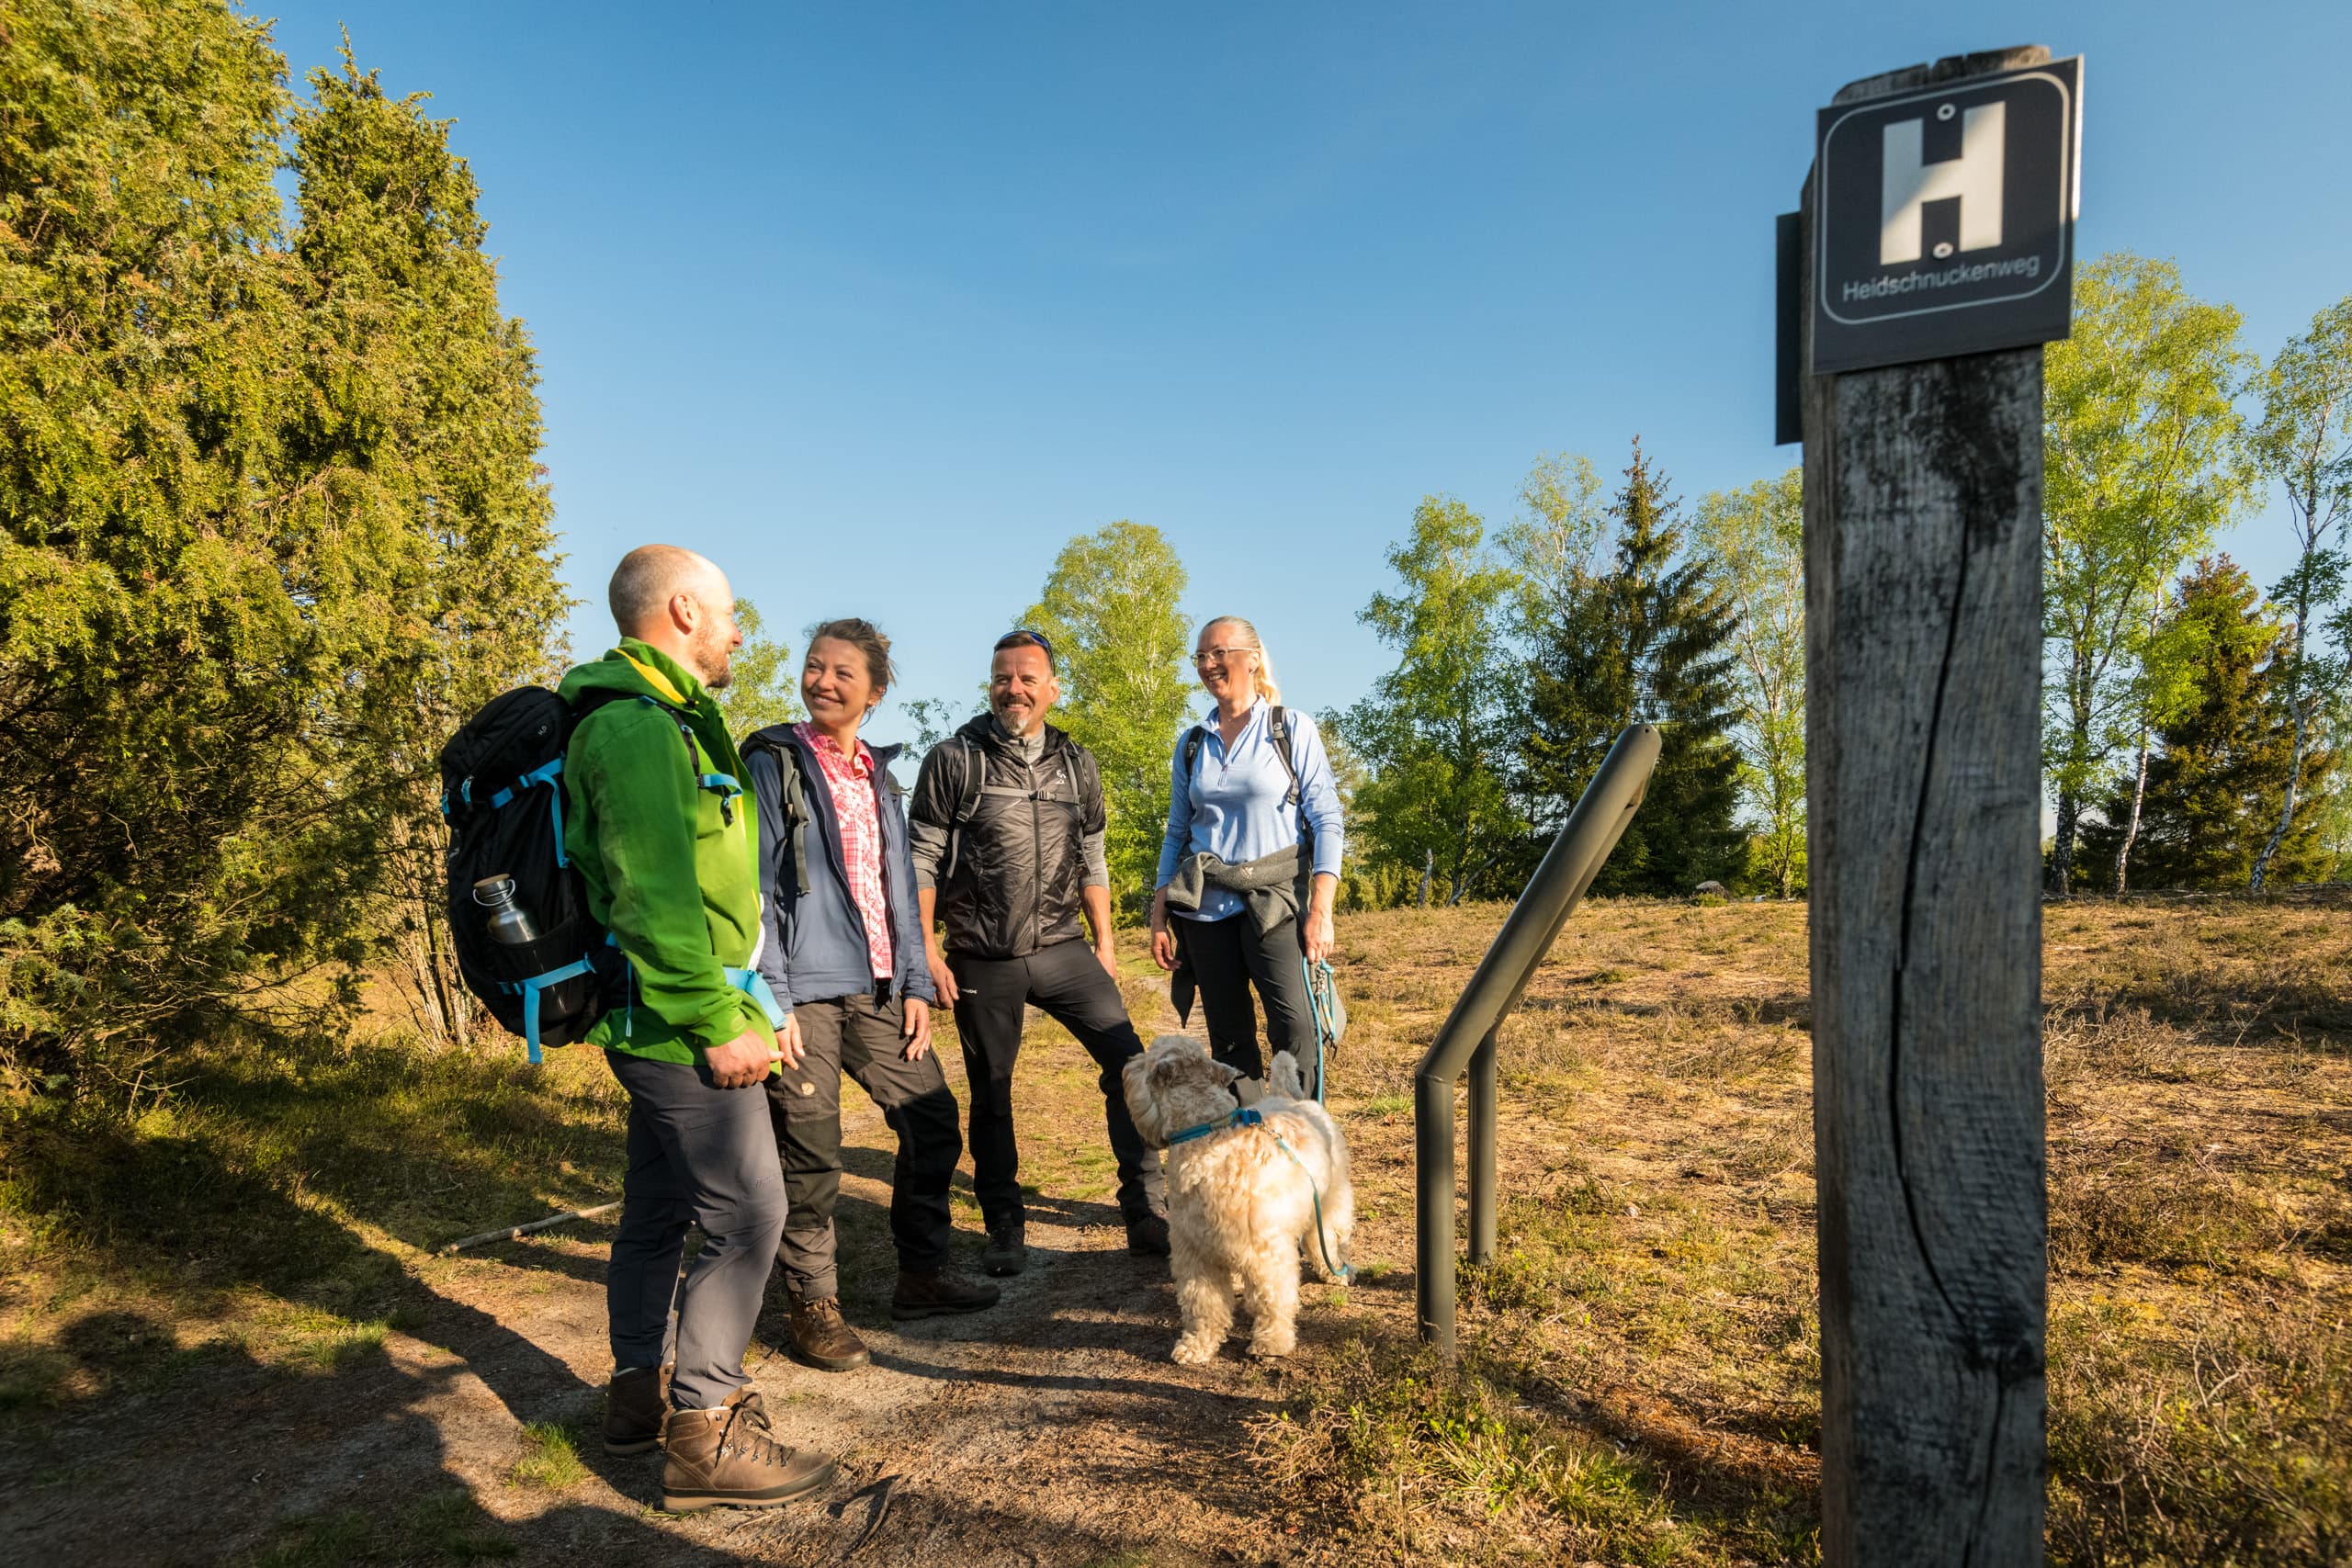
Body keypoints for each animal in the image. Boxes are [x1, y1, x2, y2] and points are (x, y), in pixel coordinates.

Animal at [1124, 1029, 1363, 1363]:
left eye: (1145, 1062)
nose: (1126, 1066)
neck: (1208, 1137)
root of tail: (1294, 1099)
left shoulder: (1265, 1253)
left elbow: (1271, 1299)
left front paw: (1272, 1341)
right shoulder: (1195, 1254)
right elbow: (1203, 1304)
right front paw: (1197, 1345)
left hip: (1331, 1199)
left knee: (1328, 1238)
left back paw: (1338, 1271)